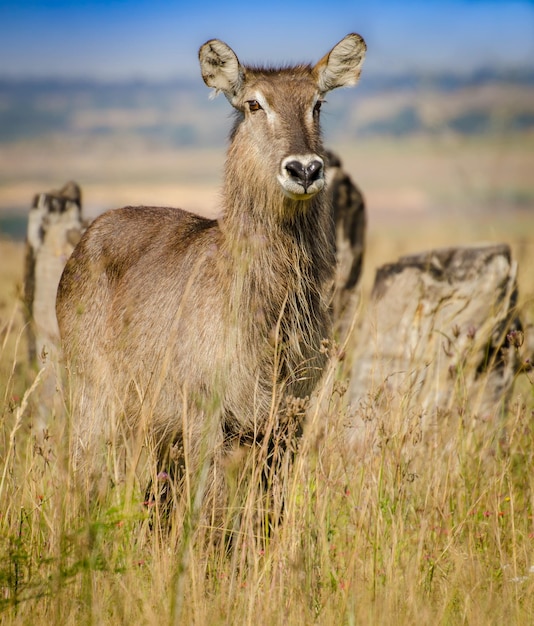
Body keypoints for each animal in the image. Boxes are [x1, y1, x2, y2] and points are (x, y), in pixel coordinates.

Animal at [57, 33, 368, 520]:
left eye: (317, 104)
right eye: (254, 104)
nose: (304, 169)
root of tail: (89, 234)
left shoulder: (288, 418)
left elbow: (270, 513)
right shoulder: (205, 413)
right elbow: (215, 512)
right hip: (93, 395)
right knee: (86, 477)